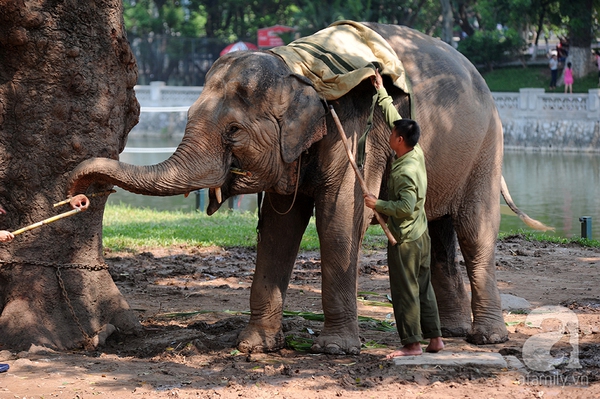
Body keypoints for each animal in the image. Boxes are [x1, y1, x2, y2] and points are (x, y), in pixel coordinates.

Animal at [67, 21, 548, 354]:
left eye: (234, 132)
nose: (79, 190)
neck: (298, 67)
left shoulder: (356, 131)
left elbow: (338, 220)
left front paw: (335, 350)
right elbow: (278, 230)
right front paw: (256, 346)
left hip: (487, 147)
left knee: (474, 231)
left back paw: (485, 338)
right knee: (439, 234)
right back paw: (449, 334)